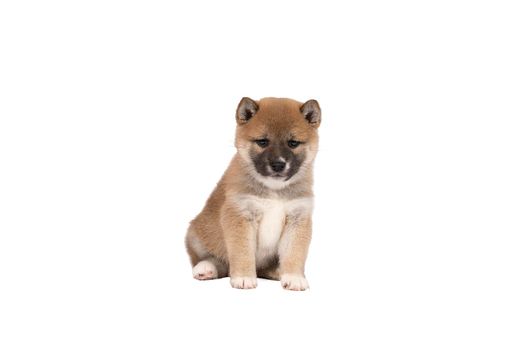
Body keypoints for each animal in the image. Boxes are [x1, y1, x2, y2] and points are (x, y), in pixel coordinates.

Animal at [186, 96, 322, 290]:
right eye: (263, 142)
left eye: (293, 143)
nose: (278, 164)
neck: (274, 189)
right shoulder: (240, 215)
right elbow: (242, 252)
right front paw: (243, 277)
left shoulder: (298, 218)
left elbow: (294, 253)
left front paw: (294, 277)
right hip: (196, 235)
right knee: (215, 261)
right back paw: (206, 268)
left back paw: (277, 272)